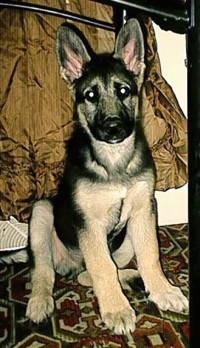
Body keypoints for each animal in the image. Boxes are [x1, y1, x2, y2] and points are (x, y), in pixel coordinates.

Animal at [26, 18, 188, 334]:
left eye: (124, 91)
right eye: (90, 95)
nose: (113, 128)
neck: (114, 164)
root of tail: (69, 264)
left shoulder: (144, 209)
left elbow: (150, 255)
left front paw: (162, 290)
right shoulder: (89, 223)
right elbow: (102, 266)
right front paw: (115, 309)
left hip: (125, 240)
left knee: (90, 273)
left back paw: (132, 279)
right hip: (42, 213)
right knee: (45, 270)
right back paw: (40, 301)